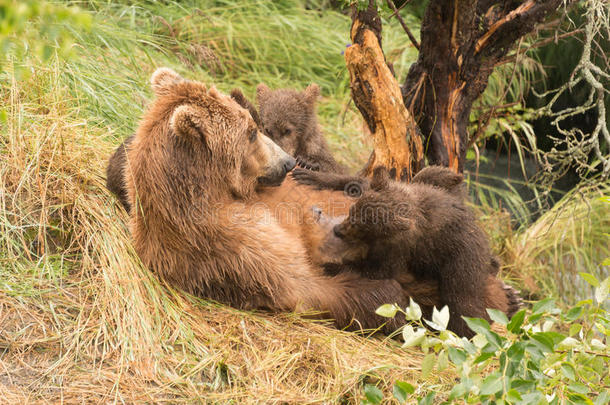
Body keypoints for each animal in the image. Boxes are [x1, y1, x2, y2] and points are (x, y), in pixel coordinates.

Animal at [125, 67, 406, 332]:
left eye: (253, 126)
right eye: (252, 133)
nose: (288, 163)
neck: (220, 191)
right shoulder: (229, 247)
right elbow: (306, 285)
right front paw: (389, 296)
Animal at [308, 166, 512, 336]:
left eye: (361, 226)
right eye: (352, 212)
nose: (338, 230)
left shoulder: (400, 249)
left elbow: (378, 272)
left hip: (461, 265)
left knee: (464, 302)